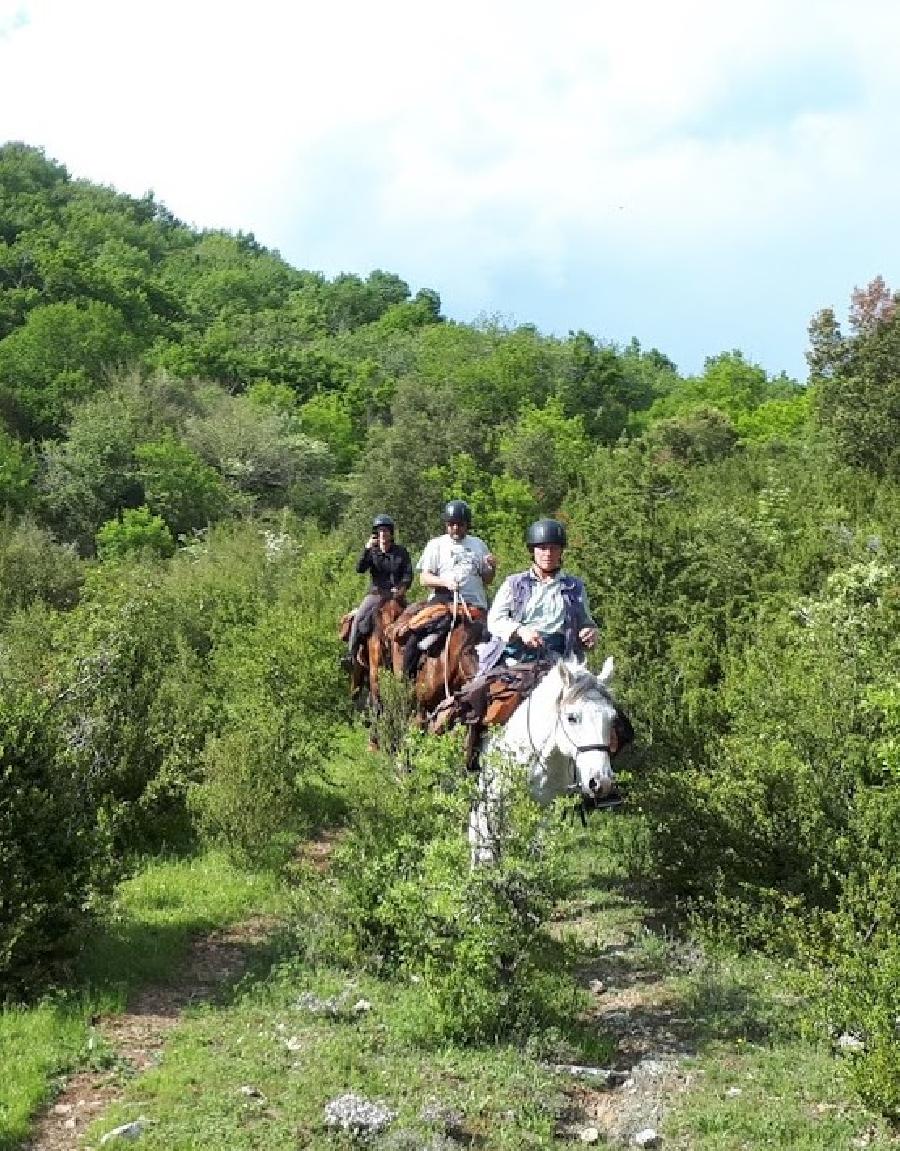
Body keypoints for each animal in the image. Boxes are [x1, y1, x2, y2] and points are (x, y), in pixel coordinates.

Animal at [471, 658, 621, 865]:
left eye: (612, 718)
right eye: (571, 717)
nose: (600, 782)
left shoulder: (548, 811)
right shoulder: (494, 803)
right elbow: (491, 848)